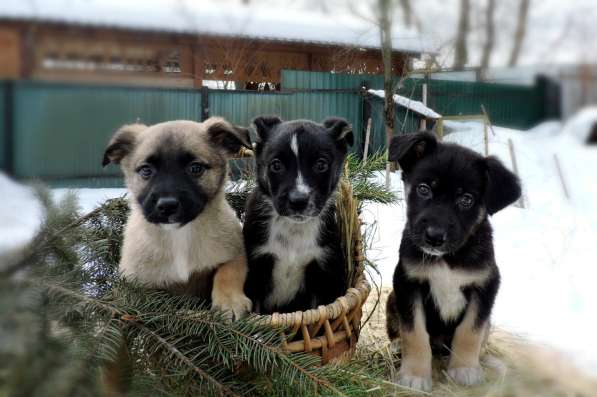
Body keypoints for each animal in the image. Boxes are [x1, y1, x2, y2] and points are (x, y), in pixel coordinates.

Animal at [102, 116, 251, 318]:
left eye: (195, 168)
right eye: (146, 170)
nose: (167, 206)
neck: (179, 235)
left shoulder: (235, 252)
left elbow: (228, 271)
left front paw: (230, 302)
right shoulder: (137, 281)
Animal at [242, 116, 352, 314]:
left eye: (321, 164)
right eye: (276, 165)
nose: (298, 201)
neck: (294, 228)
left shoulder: (325, 273)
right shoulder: (255, 269)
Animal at [384, 132, 520, 390]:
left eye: (466, 199)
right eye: (424, 189)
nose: (434, 237)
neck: (448, 259)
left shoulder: (485, 287)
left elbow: (470, 331)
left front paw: (465, 369)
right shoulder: (407, 283)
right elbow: (414, 333)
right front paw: (415, 375)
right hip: (392, 300)